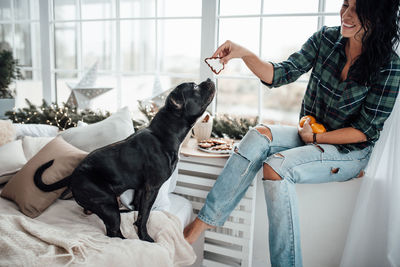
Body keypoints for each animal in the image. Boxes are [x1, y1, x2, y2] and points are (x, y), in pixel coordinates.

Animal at [34, 79, 216, 243]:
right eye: (194, 87)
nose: (208, 79)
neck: (163, 133)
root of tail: (73, 175)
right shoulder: (152, 188)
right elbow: (144, 216)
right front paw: (145, 238)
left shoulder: (142, 188)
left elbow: (139, 210)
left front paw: (136, 220)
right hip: (107, 204)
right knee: (113, 233)